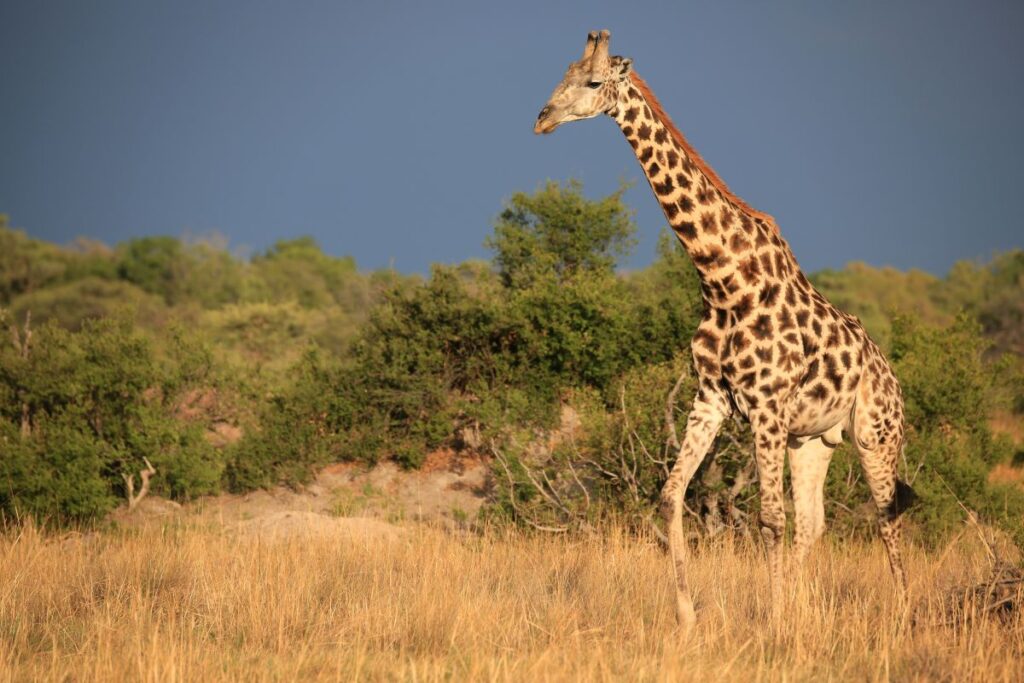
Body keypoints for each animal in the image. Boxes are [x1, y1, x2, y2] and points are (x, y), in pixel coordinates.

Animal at [534, 30, 914, 629]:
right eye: (563, 74)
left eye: (593, 81)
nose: (542, 119)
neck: (721, 278)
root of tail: (892, 377)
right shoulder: (712, 397)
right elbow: (671, 496)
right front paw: (688, 618)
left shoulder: (766, 406)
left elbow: (768, 519)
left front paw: (774, 626)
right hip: (814, 440)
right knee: (814, 523)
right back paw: (804, 609)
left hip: (876, 434)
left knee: (885, 517)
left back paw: (900, 617)